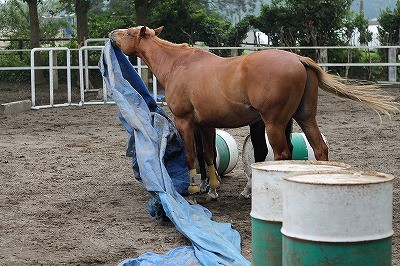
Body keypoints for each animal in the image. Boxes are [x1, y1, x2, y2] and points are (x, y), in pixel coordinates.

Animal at [108, 26, 396, 200]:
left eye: (129, 32)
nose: (111, 34)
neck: (179, 64)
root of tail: (298, 59)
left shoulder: (185, 122)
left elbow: (191, 155)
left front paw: (192, 187)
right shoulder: (206, 124)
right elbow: (207, 155)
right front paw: (211, 189)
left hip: (274, 123)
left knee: (282, 154)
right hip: (304, 118)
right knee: (319, 148)